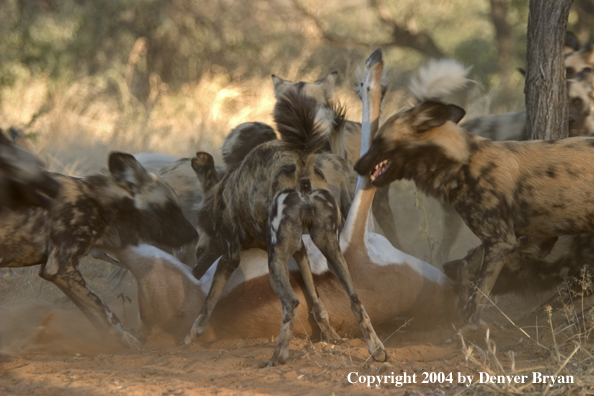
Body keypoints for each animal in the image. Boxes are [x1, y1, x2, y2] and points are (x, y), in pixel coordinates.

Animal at [185, 86, 388, 366]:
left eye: (199, 249)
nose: (194, 271)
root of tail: (302, 174)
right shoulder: (300, 250)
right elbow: (317, 302)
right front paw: (331, 335)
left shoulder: (229, 257)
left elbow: (207, 305)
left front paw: (190, 337)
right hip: (331, 250)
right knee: (355, 299)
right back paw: (377, 350)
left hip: (275, 261)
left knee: (290, 303)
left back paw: (278, 356)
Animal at [350, 100, 594, 328]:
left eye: (378, 141)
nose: (356, 167)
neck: (462, 163)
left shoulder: (499, 243)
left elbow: (476, 296)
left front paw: (468, 329)